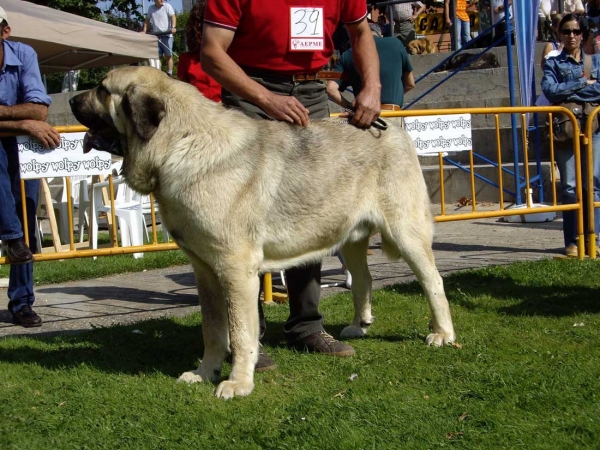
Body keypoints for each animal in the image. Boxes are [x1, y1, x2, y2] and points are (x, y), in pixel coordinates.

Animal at [70, 66, 454, 398]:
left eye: (102, 90)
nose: (72, 100)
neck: (182, 140)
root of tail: (391, 128)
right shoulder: (205, 271)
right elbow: (213, 330)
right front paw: (204, 372)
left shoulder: (235, 270)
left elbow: (240, 332)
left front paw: (238, 383)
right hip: (351, 238)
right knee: (364, 279)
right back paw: (360, 326)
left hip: (406, 233)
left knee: (433, 281)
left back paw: (443, 334)